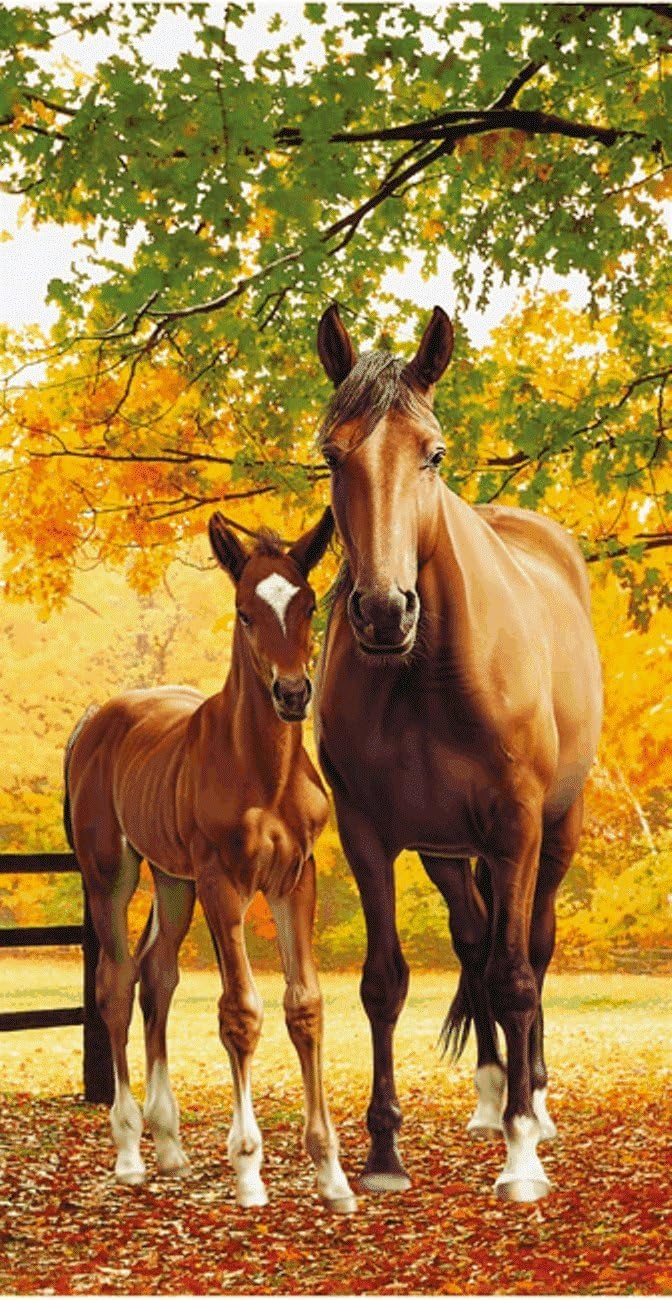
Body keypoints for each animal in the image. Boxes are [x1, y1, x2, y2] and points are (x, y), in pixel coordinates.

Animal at [63, 508, 357, 1214]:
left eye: (308, 603)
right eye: (245, 611)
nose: (292, 693)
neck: (263, 770)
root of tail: (95, 719)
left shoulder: (294, 879)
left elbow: (305, 1006)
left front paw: (331, 1174)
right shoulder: (226, 882)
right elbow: (241, 1011)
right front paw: (248, 1169)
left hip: (174, 880)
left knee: (157, 975)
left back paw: (169, 1145)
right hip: (111, 874)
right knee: (116, 982)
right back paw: (129, 1152)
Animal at [313, 303, 602, 1202]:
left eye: (431, 453)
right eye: (332, 454)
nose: (382, 611)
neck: (427, 673)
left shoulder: (515, 830)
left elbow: (515, 977)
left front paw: (522, 1158)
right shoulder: (368, 836)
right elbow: (385, 982)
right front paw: (382, 1154)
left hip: (554, 836)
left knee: (528, 952)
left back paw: (531, 1102)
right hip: (446, 852)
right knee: (475, 944)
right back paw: (489, 1097)